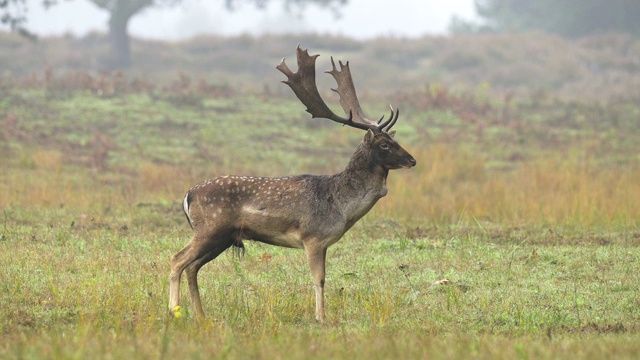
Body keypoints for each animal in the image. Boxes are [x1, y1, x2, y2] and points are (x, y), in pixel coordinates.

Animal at [168, 45, 418, 324]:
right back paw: (174, 310)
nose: (412, 159)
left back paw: (200, 315)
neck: (341, 206)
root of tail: (188, 195)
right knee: (177, 260)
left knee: (192, 267)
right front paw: (320, 317)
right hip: (210, 228)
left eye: (395, 140)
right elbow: (319, 279)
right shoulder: (312, 237)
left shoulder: (324, 242)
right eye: (384, 144)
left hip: (222, 237)